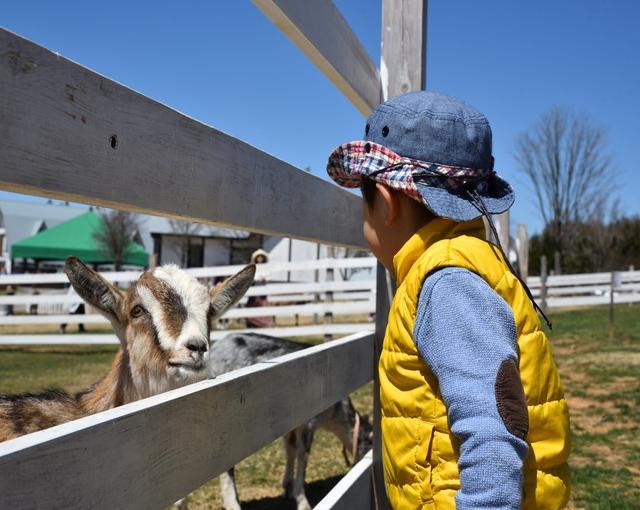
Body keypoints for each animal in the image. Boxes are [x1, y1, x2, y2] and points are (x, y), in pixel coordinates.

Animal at [208, 332, 372, 508]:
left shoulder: (291, 424)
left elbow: (290, 449)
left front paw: (287, 488)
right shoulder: (307, 424)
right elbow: (303, 456)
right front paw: (303, 502)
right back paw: (233, 504)